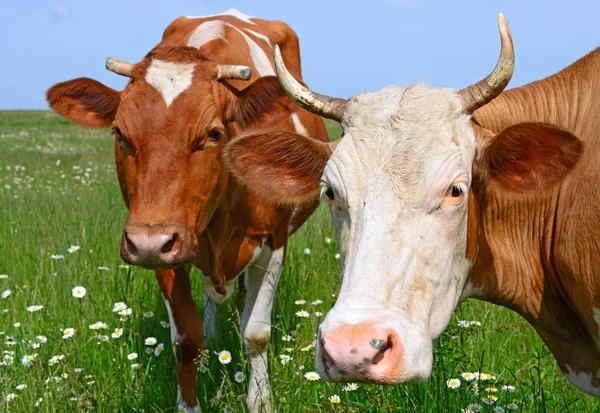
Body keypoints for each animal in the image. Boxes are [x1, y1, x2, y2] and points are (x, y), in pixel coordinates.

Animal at [45, 8, 328, 410]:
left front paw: (260, 400)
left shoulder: (274, 242)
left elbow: (256, 333)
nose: (148, 241)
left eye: (212, 134)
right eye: (120, 133)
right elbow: (186, 339)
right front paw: (189, 400)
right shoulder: (164, 247)